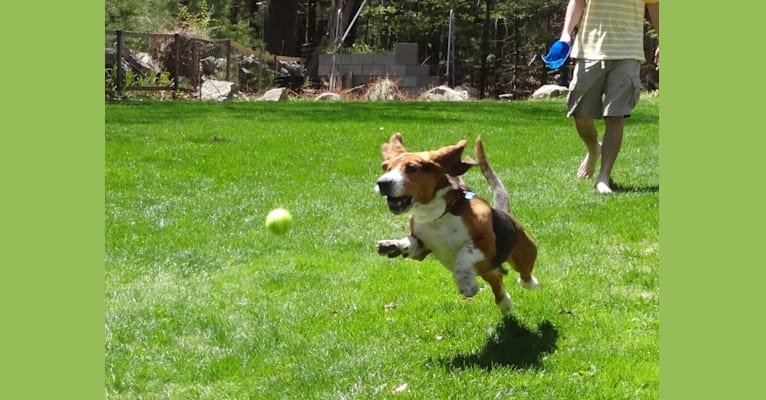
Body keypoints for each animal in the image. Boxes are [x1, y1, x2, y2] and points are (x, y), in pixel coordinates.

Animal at [376, 133, 536, 314]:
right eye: (386, 168)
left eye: (411, 168)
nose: (382, 183)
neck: (438, 215)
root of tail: (505, 213)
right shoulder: (422, 248)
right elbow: (410, 242)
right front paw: (393, 245)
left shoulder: (485, 241)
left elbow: (465, 254)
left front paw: (466, 282)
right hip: (488, 270)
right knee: (497, 280)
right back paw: (505, 302)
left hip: (524, 255)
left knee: (524, 274)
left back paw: (528, 283)